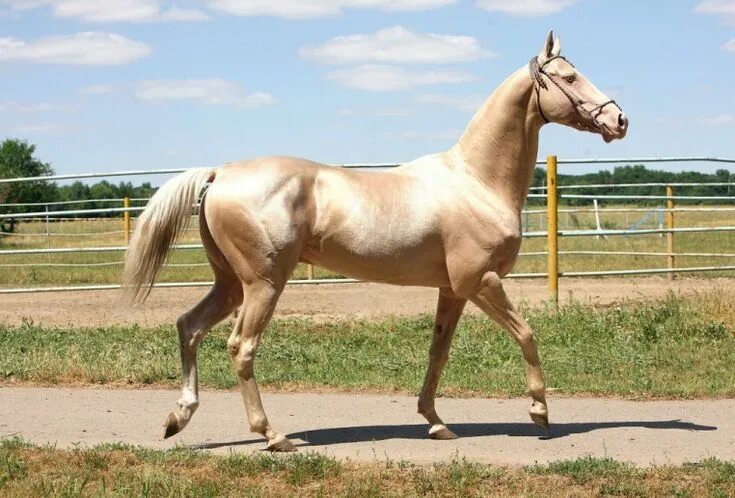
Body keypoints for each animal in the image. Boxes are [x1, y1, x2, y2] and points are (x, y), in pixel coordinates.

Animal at [123, 31, 628, 452]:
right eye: (569, 77)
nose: (619, 119)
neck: (476, 181)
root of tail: (219, 173)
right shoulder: (480, 282)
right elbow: (526, 334)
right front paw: (539, 412)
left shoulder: (452, 290)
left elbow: (438, 352)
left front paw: (435, 422)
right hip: (262, 285)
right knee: (240, 347)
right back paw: (273, 435)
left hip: (229, 283)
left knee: (188, 327)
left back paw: (178, 418)